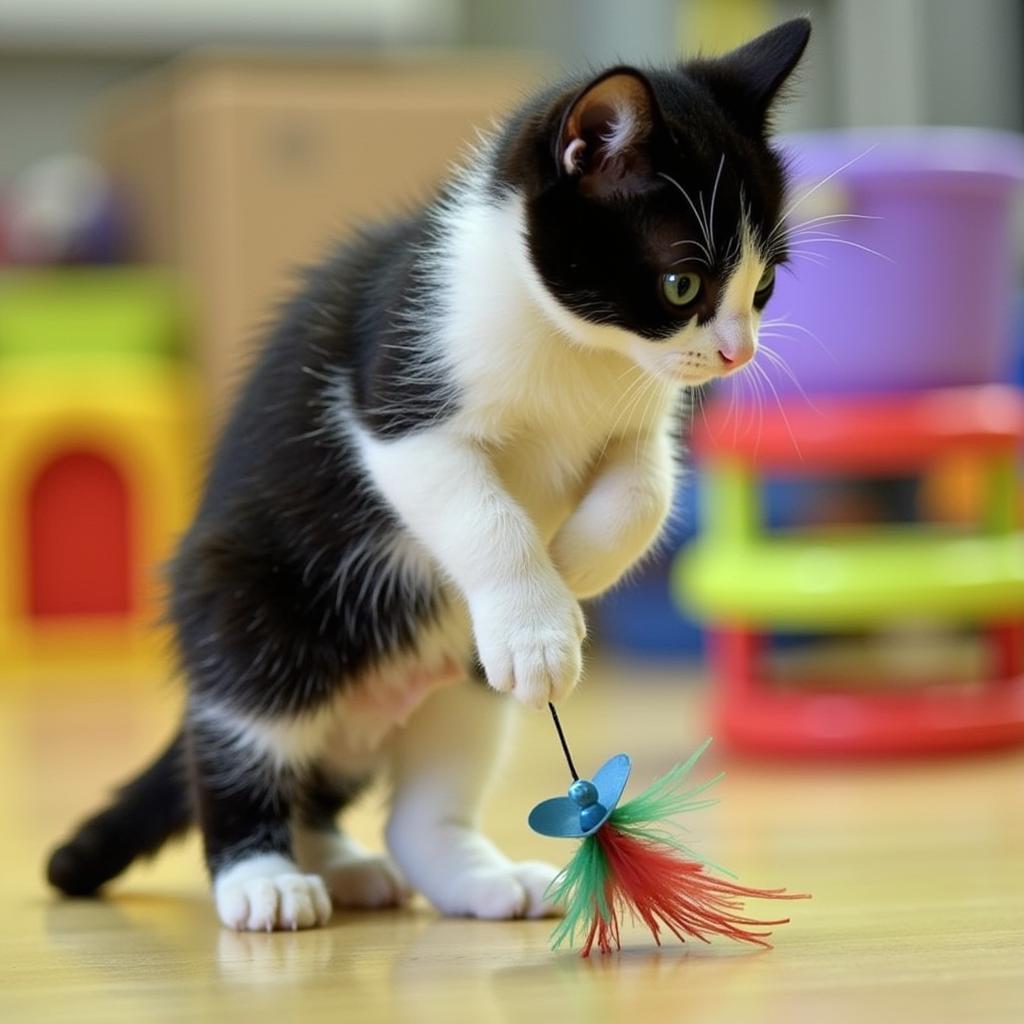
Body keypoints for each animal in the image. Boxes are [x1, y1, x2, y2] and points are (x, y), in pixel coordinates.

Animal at [48, 18, 811, 929]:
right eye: (681, 283)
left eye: (763, 288)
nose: (738, 354)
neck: (578, 350)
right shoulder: (397, 400)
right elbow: (484, 512)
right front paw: (536, 622)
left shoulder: (637, 420)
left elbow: (646, 489)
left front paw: (573, 566)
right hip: (248, 610)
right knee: (241, 741)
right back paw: (264, 879)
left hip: (460, 690)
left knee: (412, 807)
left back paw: (445, 875)